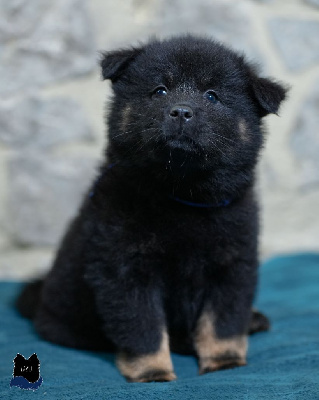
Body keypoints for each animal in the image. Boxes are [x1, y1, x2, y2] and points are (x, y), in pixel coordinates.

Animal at [16, 36, 288, 382]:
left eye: (212, 96)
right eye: (160, 90)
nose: (182, 111)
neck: (182, 194)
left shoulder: (232, 265)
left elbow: (222, 321)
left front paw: (224, 359)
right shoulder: (126, 268)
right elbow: (143, 325)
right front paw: (152, 370)